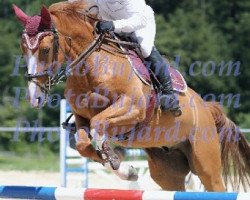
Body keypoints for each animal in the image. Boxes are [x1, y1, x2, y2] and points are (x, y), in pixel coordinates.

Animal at [14, 1, 250, 192]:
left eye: (45, 50)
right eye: (23, 49)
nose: (35, 97)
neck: (93, 67)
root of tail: (206, 108)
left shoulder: (131, 108)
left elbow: (99, 125)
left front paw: (119, 163)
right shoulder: (81, 117)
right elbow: (83, 144)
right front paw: (125, 168)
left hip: (206, 164)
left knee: (215, 184)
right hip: (166, 170)